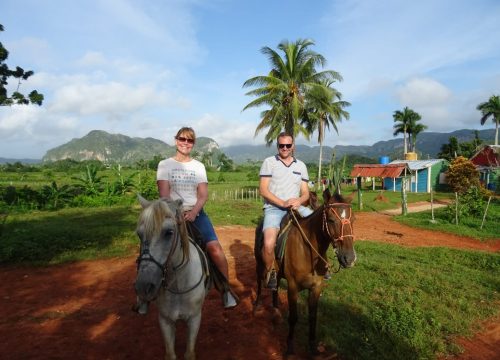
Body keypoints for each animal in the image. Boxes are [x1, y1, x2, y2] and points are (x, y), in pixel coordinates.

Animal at [135, 197, 209, 360]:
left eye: (169, 232)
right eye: (139, 234)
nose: (144, 286)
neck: (178, 285)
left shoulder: (195, 319)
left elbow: (189, 353)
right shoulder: (164, 320)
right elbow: (170, 354)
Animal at [256, 188, 358, 354]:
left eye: (354, 219)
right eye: (330, 220)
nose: (349, 258)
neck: (307, 250)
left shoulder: (316, 287)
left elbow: (313, 317)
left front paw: (312, 346)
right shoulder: (292, 287)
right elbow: (293, 317)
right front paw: (289, 347)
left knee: (275, 287)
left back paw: (276, 312)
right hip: (259, 264)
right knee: (259, 283)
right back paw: (257, 305)